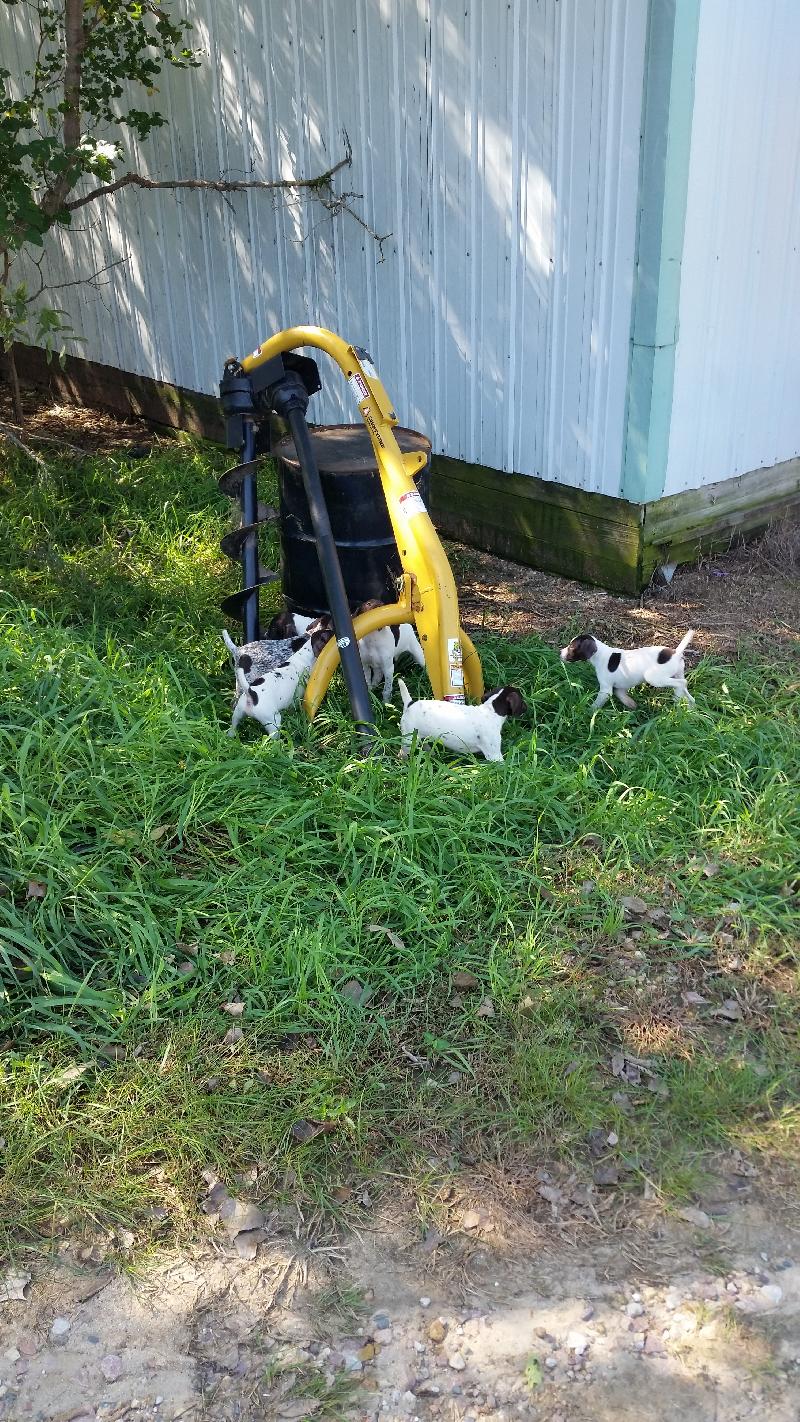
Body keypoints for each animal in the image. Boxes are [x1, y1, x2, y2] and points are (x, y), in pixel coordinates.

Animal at [397, 679, 525, 762]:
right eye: (522, 700)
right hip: (408, 738)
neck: (490, 710)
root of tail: (410, 703)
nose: (526, 707)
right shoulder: (494, 755)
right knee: (403, 752)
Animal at [562, 628, 696, 711]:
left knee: (681, 683)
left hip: (654, 678)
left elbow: (596, 705)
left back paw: (677, 698)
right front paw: (631, 704)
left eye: (571, 647)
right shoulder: (621, 687)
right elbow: (621, 695)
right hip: (677, 674)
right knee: (687, 691)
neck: (600, 655)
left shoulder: (605, 690)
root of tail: (676, 653)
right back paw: (688, 707)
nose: (560, 653)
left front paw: (587, 712)